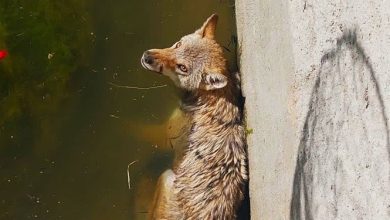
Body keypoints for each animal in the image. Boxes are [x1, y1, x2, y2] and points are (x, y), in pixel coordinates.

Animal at [142, 14, 248, 219]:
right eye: (177, 44)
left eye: (182, 67)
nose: (147, 57)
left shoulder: (163, 135)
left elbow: (131, 127)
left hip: (166, 176)